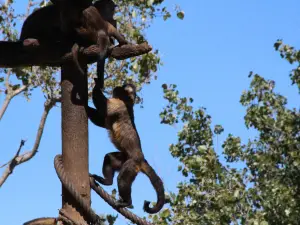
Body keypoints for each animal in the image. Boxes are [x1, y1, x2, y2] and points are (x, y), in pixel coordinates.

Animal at [83, 78, 165, 214]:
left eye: (122, 87)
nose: (118, 87)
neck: (127, 101)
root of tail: (141, 158)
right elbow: (102, 120)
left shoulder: (120, 105)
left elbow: (104, 108)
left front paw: (97, 84)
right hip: (124, 158)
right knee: (109, 158)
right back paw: (107, 182)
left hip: (131, 165)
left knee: (122, 179)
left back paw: (128, 203)